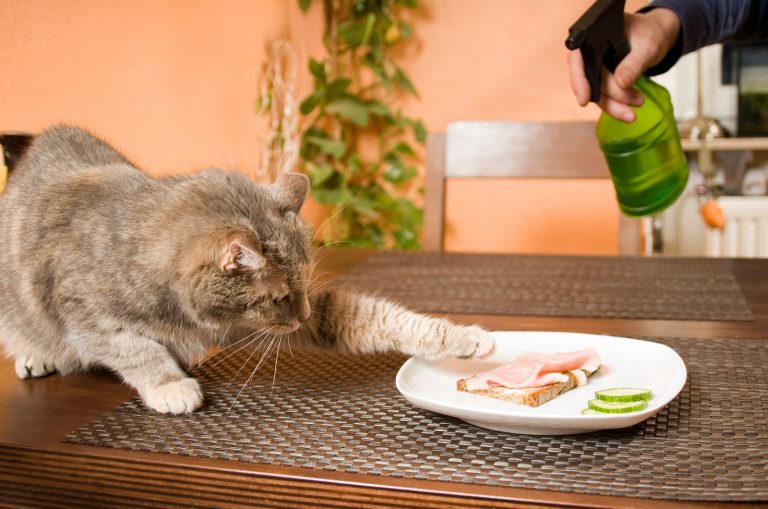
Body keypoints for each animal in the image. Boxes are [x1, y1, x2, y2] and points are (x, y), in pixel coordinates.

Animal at [0, 126, 496, 412]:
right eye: (278, 297)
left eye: (303, 288)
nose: (299, 313)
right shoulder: (85, 317)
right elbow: (138, 351)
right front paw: (171, 386)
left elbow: (383, 319)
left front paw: (466, 339)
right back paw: (35, 356)